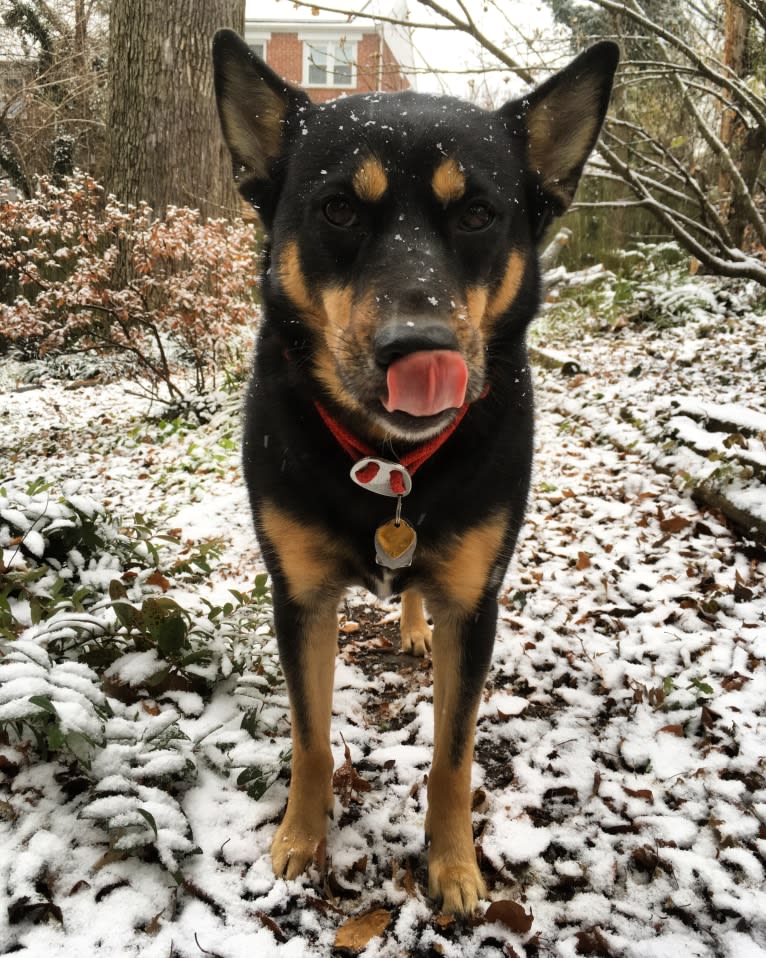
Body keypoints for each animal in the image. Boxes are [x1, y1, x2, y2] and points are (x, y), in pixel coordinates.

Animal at [213, 28, 620, 916]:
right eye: (337, 209)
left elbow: (452, 756)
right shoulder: (298, 597)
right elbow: (310, 737)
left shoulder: (475, 603)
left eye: (477, 214)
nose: (418, 347)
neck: (390, 467)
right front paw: (301, 838)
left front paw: (456, 865)